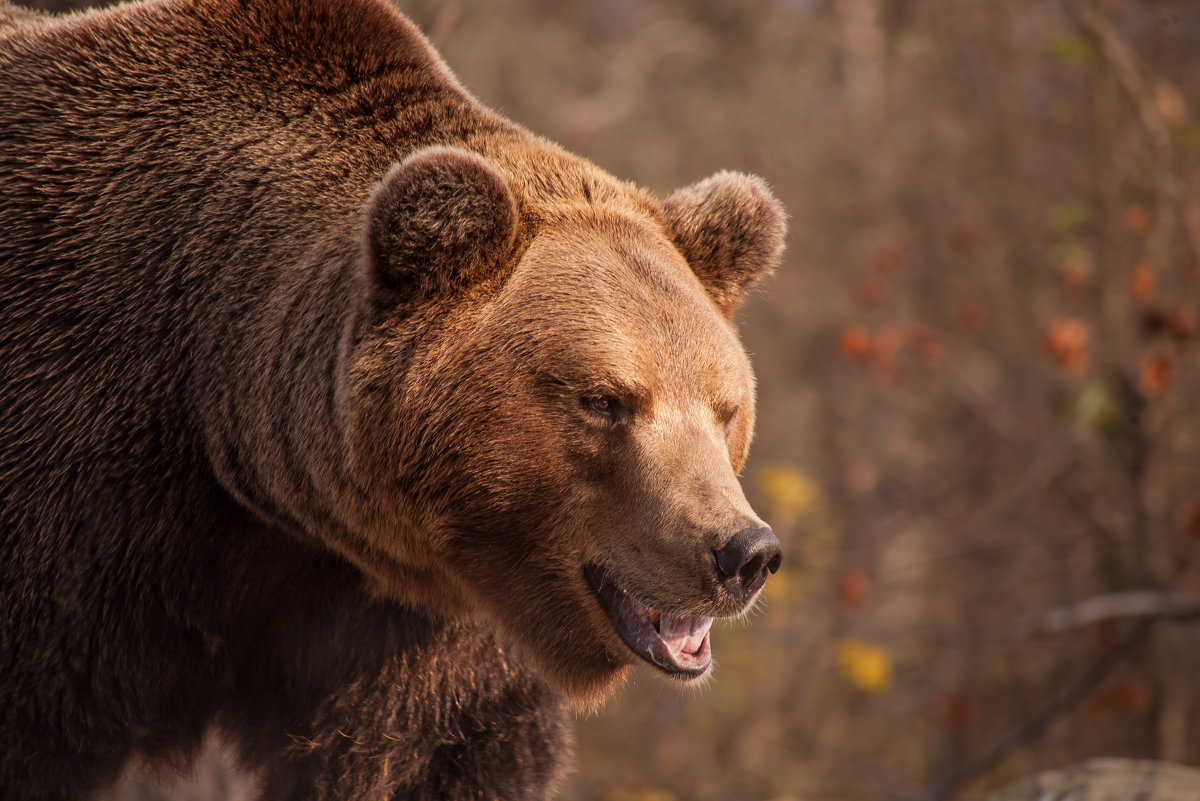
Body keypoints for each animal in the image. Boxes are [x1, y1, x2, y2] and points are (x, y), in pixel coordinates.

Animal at [0, 1, 787, 801]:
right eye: (605, 400)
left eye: (726, 408)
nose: (741, 551)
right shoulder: (78, 517)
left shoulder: (404, 624)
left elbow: (430, 755)